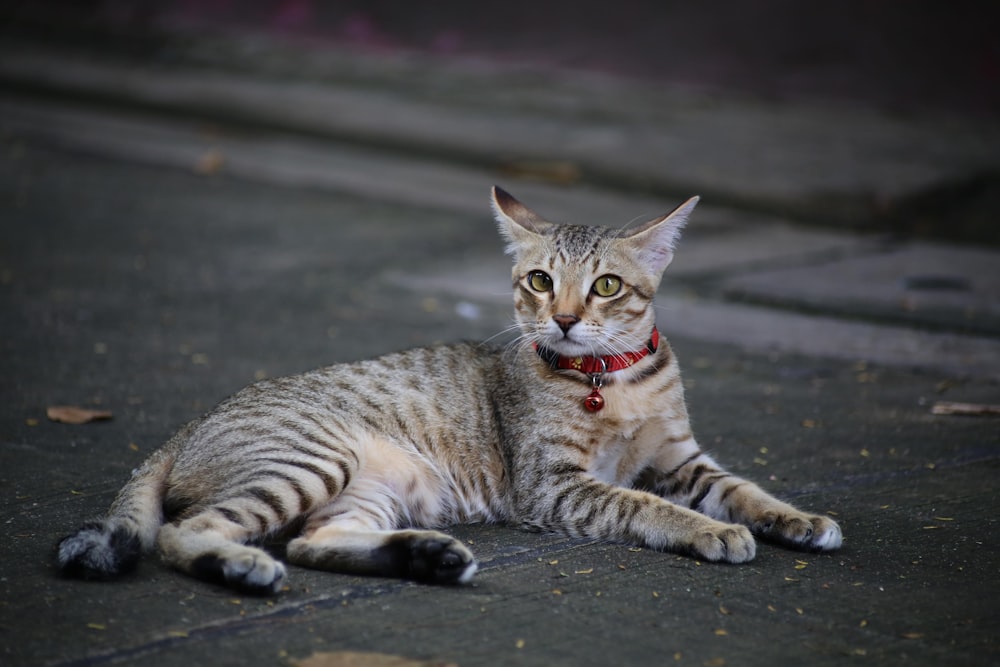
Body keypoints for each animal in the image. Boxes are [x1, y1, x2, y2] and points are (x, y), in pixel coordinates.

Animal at [58, 188, 844, 596]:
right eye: (539, 280)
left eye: (607, 286)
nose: (564, 318)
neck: (610, 380)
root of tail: (189, 425)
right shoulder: (556, 487)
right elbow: (645, 504)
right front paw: (711, 531)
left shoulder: (683, 457)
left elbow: (746, 488)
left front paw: (798, 518)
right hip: (312, 460)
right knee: (186, 533)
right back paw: (245, 565)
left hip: (370, 488)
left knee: (315, 541)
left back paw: (427, 557)